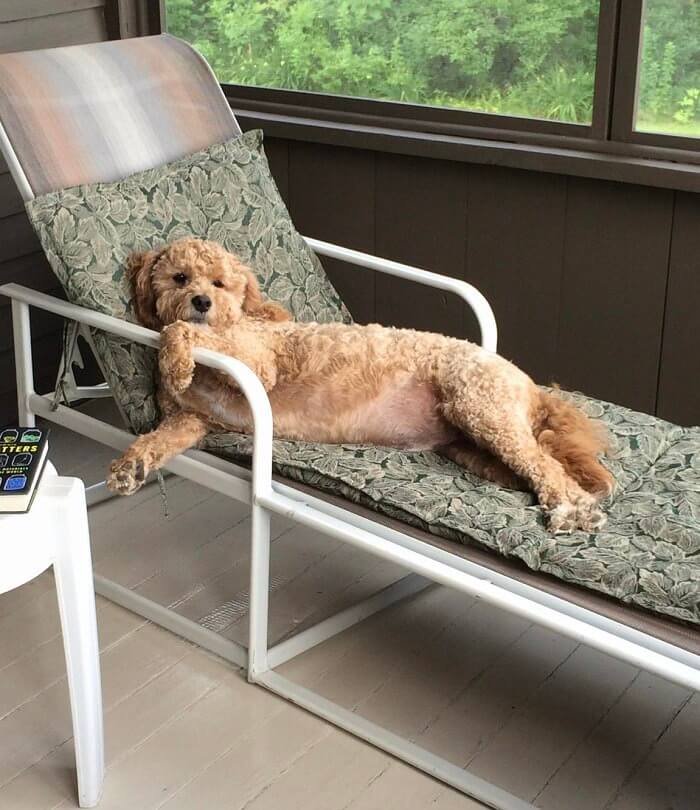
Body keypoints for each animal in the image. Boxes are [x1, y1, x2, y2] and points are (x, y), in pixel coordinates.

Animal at [106, 238, 616, 532]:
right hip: (469, 441)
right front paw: (132, 465)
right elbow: (157, 440)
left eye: (219, 283)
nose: (201, 301)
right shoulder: (194, 420)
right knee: (538, 464)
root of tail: (529, 383)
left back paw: (571, 510)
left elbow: (184, 333)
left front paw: (177, 357)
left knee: (551, 470)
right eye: (179, 277)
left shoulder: (258, 361)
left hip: (481, 407)